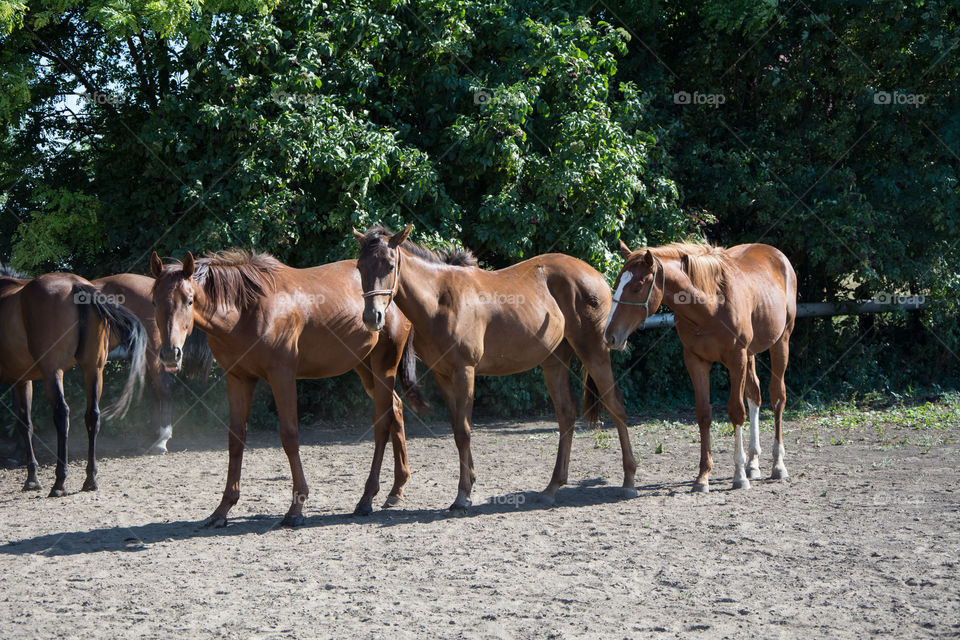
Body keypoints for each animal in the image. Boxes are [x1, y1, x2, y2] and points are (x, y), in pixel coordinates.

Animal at [0, 264, 147, 496]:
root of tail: (77, 284)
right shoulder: (22, 379)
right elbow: (26, 424)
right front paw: (32, 478)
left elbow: (24, 424)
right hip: (93, 369)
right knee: (92, 415)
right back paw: (90, 479)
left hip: (53, 372)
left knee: (62, 414)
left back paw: (59, 482)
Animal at [151, 249, 428, 524]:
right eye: (154, 301)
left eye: (189, 301)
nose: (170, 353)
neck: (247, 310)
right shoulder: (238, 379)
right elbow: (236, 438)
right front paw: (223, 508)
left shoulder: (282, 377)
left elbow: (289, 435)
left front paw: (296, 507)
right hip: (365, 368)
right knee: (395, 408)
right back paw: (396, 489)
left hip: (383, 367)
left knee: (383, 421)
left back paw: (367, 498)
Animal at [354, 225, 636, 510]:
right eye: (359, 267)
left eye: (390, 265)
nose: (372, 317)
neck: (440, 300)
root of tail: (595, 275)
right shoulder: (443, 375)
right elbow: (457, 428)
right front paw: (469, 481)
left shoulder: (464, 371)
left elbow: (464, 431)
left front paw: (463, 494)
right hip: (554, 360)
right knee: (566, 414)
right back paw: (552, 487)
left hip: (594, 351)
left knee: (614, 404)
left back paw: (629, 480)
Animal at [608, 240, 796, 490]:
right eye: (617, 284)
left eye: (637, 287)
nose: (610, 336)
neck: (710, 305)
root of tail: (777, 255)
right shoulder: (696, 361)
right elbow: (704, 414)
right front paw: (703, 476)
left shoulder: (736, 359)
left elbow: (736, 411)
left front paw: (739, 475)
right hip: (751, 354)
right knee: (755, 395)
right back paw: (753, 463)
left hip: (781, 342)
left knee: (777, 397)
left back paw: (777, 464)